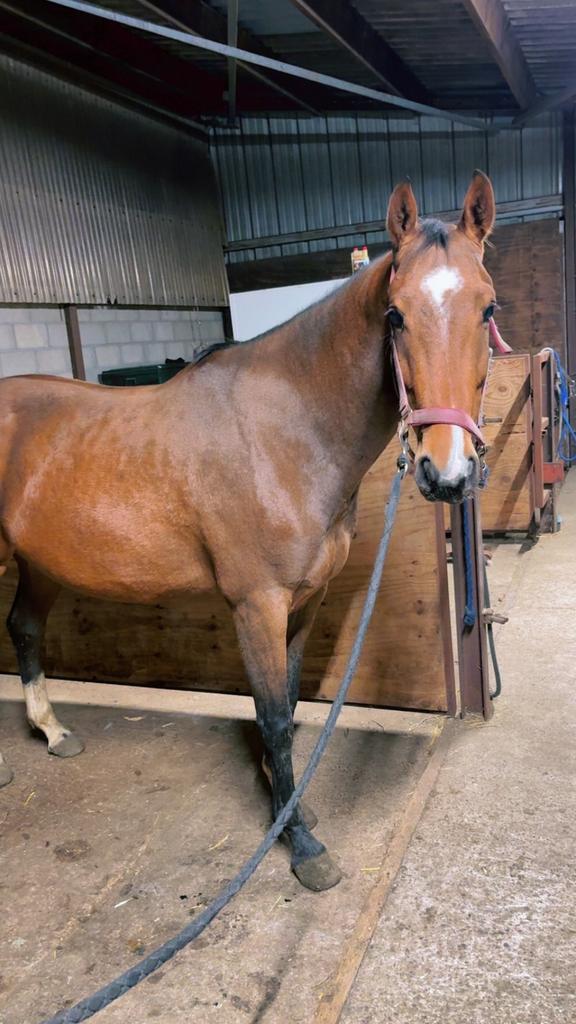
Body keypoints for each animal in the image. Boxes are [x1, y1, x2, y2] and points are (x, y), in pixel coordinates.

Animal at [0, 172, 497, 891]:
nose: (448, 471)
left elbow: (287, 703)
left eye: (487, 309)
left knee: (25, 629)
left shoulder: (307, 601)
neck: (286, 431)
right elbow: (274, 717)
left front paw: (291, 811)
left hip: (40, 562)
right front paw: (302, 846)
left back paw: (54, 731)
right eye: (396, 315)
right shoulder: (256, 604)